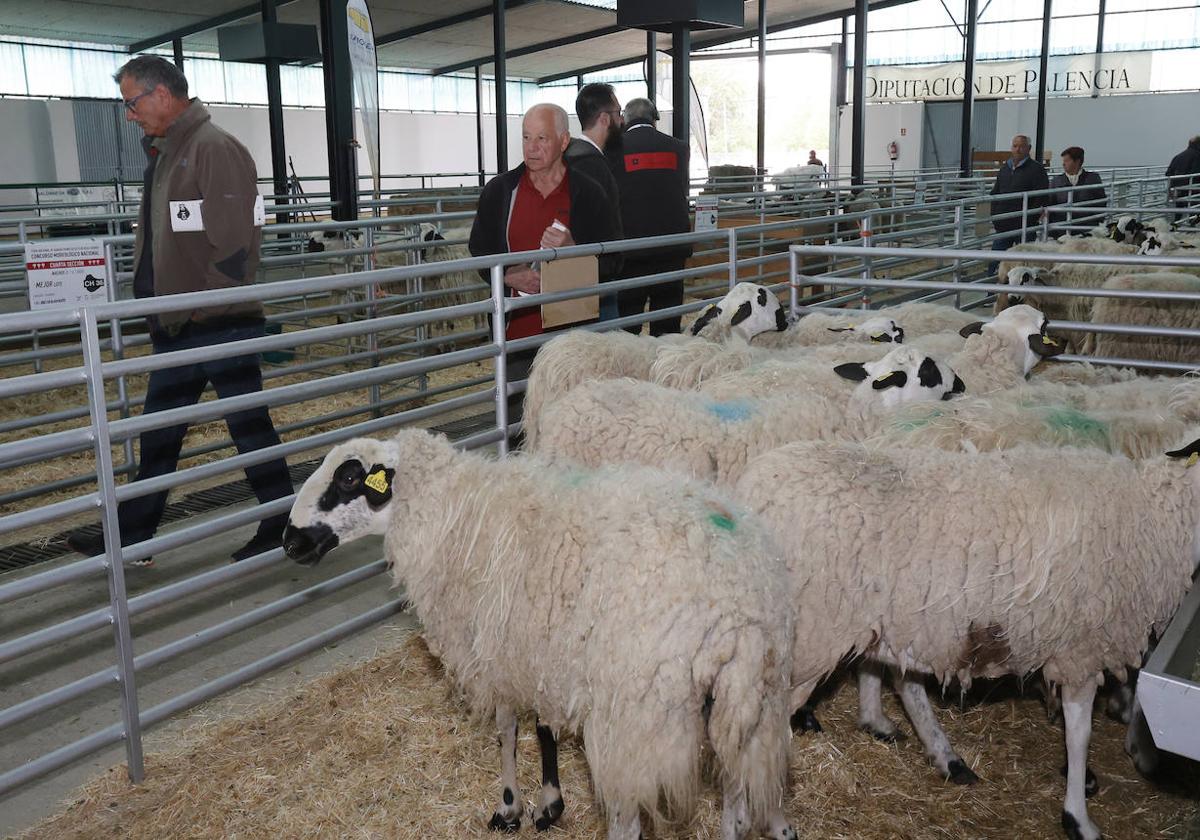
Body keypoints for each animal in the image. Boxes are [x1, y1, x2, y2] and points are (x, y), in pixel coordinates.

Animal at [285, 432, 801, 840]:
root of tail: (738, 610)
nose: (290, 541)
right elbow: (543, 726)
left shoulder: (500, 649)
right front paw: (549, 804)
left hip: (634, 718)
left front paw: (511, 806)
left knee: (629, 821)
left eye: (349, 479)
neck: (456, 514)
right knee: (740, 804)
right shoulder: (540, 651)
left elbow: (508, 729)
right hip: (752, 703)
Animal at [729, 436, 1200, 835]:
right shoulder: (1081, 648)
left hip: (898, 622)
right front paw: (1079, 817)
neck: (1156, 515)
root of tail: (749, 489)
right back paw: (770, 820)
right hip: (806, 639)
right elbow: (1080, 735)